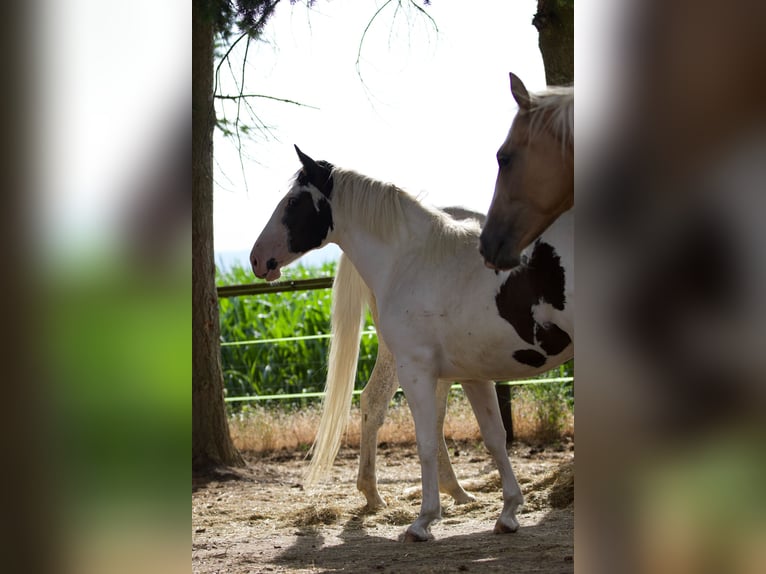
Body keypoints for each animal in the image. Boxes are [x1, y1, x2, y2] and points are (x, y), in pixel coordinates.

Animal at [250, 146, 573, 541]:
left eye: (294, 201)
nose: (256, 258)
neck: (413, 259)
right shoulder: (468, 375)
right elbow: (490, 437)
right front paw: (506, 511)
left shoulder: (419, 370)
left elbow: (432, 440)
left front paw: (424, 520)